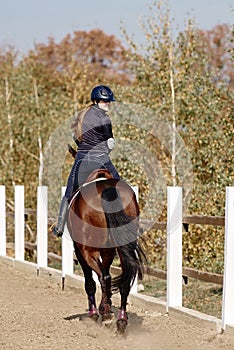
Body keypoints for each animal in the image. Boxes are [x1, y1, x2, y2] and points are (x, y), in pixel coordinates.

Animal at [65, 146, 147, 334]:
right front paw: (106, 305)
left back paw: (105, 314)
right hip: (123, 248)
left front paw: (97, 313)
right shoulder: (108, 250)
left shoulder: (80, 250)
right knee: (124, 280)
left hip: (87, 250)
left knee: (102, 278)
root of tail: (107, 188)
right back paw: (121, 321)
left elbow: (91, 281)